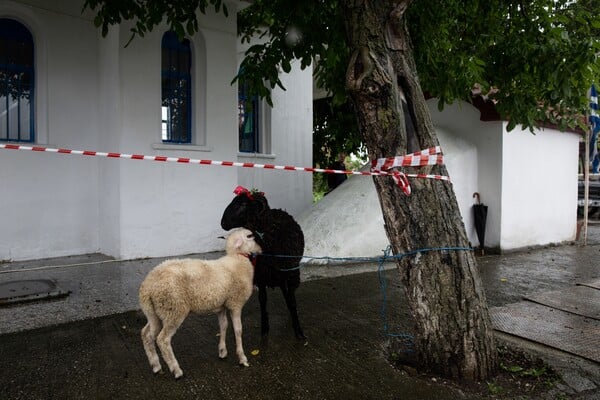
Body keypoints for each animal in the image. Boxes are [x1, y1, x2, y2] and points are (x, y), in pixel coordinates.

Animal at [141, 228, 262, 378]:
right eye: (250, 236)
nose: (261, 249)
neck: (237, 259)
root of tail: (148, 285)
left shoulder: (221, 305)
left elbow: (223, 326)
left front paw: (222, 351)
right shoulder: (235, 303)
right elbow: (238, 330)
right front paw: (242, 358)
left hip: (154, 312)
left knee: (146, 334)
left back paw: (156, 365)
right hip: (174, 309)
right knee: (162, 340)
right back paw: (176, 370)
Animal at [219, 187, 308, 340]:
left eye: (243, 204)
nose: (223, 222)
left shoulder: (290, 274)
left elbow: (292, 302)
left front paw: (298, 331)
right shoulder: (260, 275)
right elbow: (262, 300)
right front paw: (264, 329)